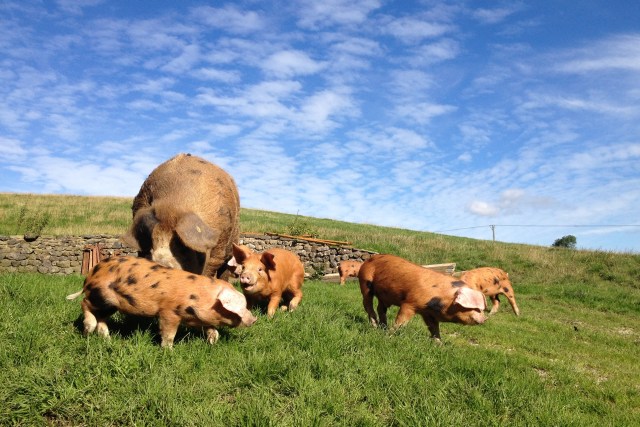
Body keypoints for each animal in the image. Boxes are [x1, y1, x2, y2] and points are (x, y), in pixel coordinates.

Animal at [66, 256, 256, 348]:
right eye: (241, 307)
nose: (254, 319)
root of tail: (91, 274)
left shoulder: (197, 318)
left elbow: (212, 329)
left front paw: (212, 343)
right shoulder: (169, 312)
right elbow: (168, 333)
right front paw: (169, 350)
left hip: (112, 304)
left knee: (102, 318)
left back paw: (107, 339)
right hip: (100, 295)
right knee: (85, 304)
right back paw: (88, 330)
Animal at [358, 254, 487, 341]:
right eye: (476, 308)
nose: (485, 319)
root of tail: (368, 260)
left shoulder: (428, 313)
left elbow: (434, 328)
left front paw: (440, 344)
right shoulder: (410, 303)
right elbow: (401, 321)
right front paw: (389, 336)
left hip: (384, 295)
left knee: (380, 308)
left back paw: (383, 326)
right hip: (365, 282)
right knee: (367, 304)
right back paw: (375, 326)